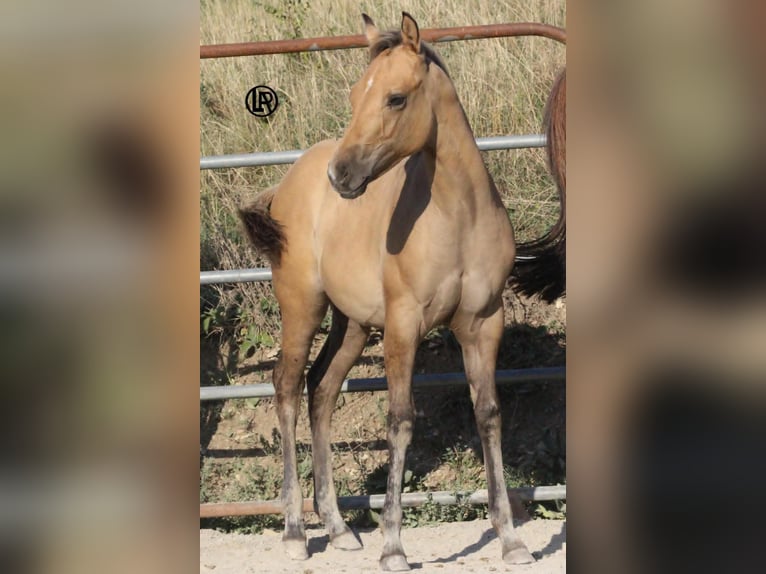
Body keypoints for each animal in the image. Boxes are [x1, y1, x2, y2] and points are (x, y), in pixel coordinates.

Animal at [239, 12, 566, 571]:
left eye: (394, 98)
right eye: (355, 95)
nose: (342, 175)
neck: (459, 217)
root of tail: (291, 178)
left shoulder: (484, 322)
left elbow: (489, 415)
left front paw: (511, 539)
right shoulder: (404, 322)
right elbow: (400, 420)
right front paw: (393, 545)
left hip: (351, 323)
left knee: (321, 389)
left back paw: (339, 528)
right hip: (302, 306)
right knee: (285, 386)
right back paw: (295, 532)